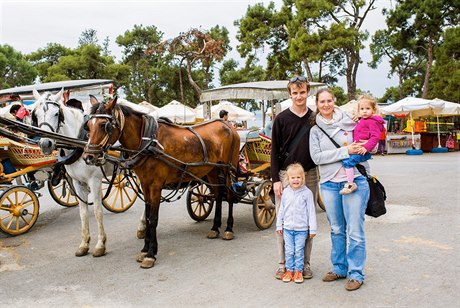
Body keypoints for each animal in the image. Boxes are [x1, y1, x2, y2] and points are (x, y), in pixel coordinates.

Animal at [31, 89, 146, 258]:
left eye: (56, 113)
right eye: (36, 114)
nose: (45, 144)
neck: (78, 143)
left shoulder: (94, 180)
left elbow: (98, 212)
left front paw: (100, 245)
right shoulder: (77, 182)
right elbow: (83, 213)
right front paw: (84, 244)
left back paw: (143, 226)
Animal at [82, 97, 241, 268]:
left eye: (104, 126)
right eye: (88, 126)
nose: (88, 157)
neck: (147, 140)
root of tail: (228, 126)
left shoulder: (156, 186)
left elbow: (153, 219)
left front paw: (151, 254)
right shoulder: (145, 185)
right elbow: (148, 216)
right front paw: (144, 250)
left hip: (229, 168)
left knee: (229, 195)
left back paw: (228, 229)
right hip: (211, 170)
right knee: (218, 194)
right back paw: (215, 227)